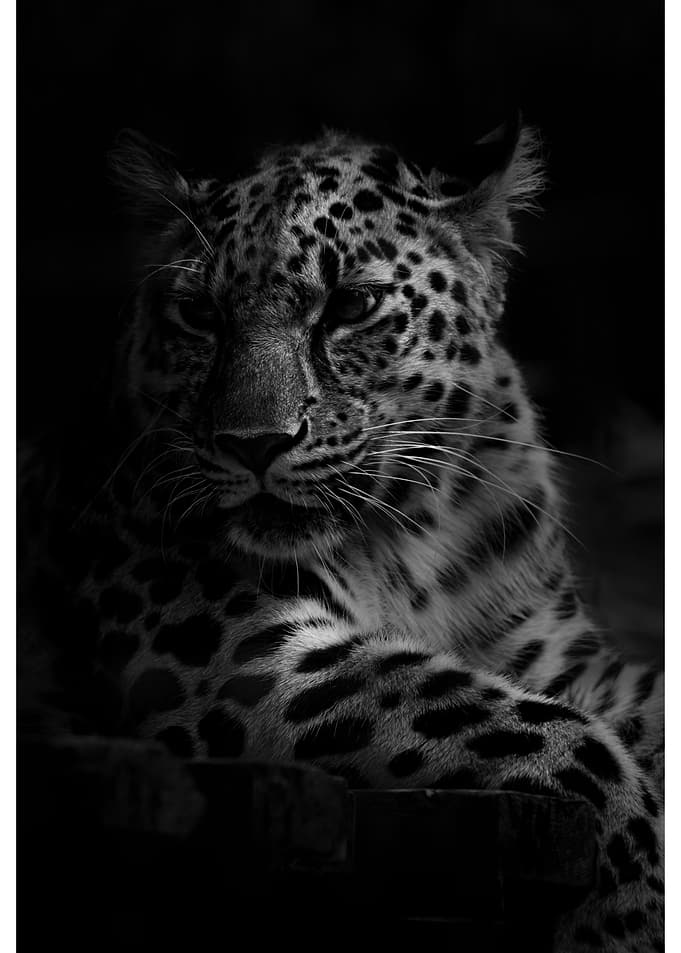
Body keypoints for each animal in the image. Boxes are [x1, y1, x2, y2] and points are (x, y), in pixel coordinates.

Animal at [20, 116, 664, 952]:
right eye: (200, 314)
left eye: (352, 305)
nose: (252, 443)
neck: (411, 534)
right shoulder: (248, 658)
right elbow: (563, 737)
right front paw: (624, 918)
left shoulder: (557, 656)